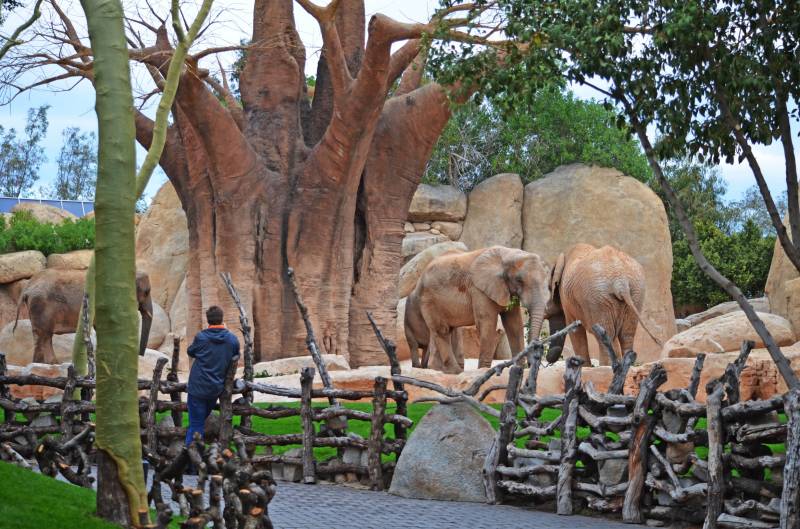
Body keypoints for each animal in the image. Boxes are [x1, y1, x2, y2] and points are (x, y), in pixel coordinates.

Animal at [12, 268, 153, 364]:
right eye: (147, 292)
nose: (140, 356)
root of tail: (28, 287)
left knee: (40, 335)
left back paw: (40, 363)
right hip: (42, 305)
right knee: (45, 335)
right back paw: (52, 363)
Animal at [412, 245, 552, 374]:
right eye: (519, 280)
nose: (531, 363)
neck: (508, 254)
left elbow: (514, 324)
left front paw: (519, 368)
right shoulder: (478, 289)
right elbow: (487, 325)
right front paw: (484, 370)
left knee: (442, 331)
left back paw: (438, 370)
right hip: (429, 300)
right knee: (442, 331)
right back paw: (456, 372)